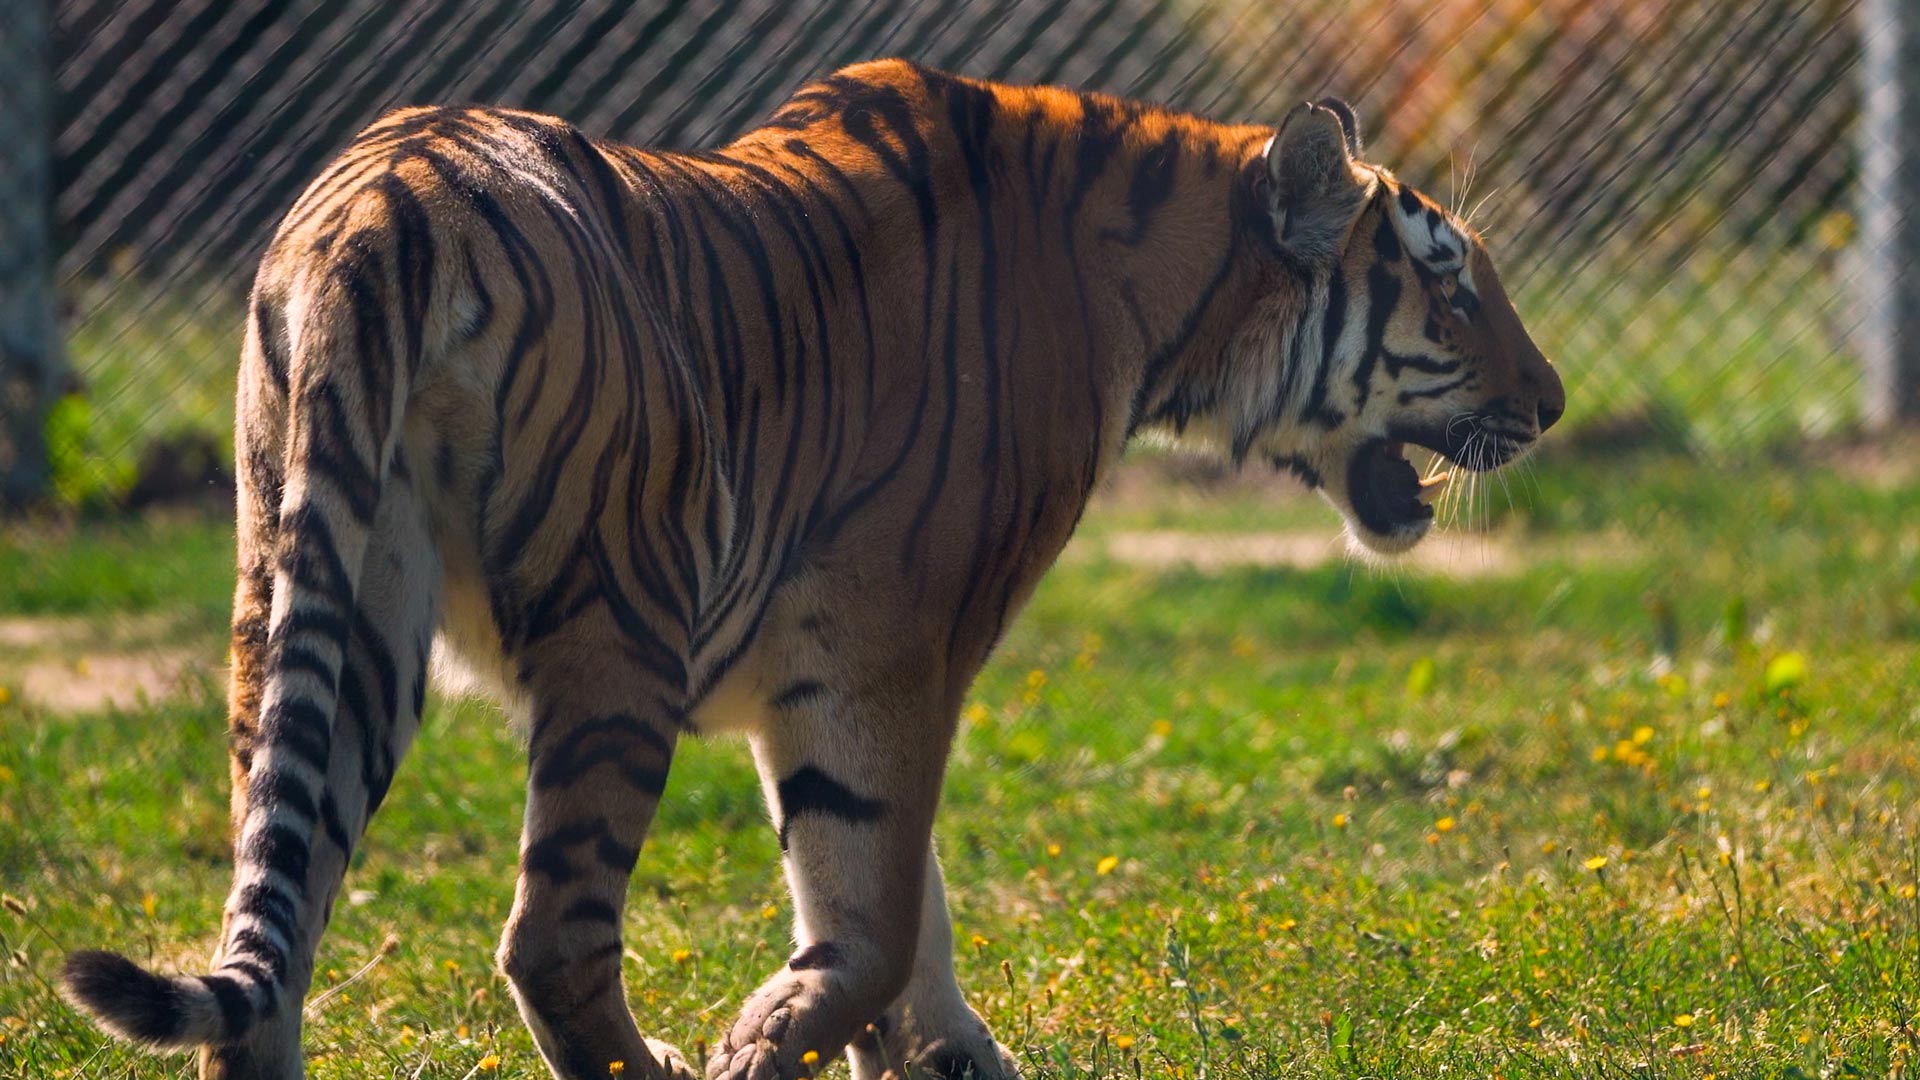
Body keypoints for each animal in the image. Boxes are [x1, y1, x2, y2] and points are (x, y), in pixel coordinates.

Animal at [60, 58, 1562, 1080]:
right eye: (1452, 284)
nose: (1551, 404)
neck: (1159, 292)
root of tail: (385, 199)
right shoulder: (885, 644)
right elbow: (881, 898)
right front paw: (779, 1042)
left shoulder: (849, 675)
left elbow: (899, 890)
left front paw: (936, 1055)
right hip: (621, 632)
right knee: (552, 938)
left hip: (329, 606)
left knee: (278, 928)